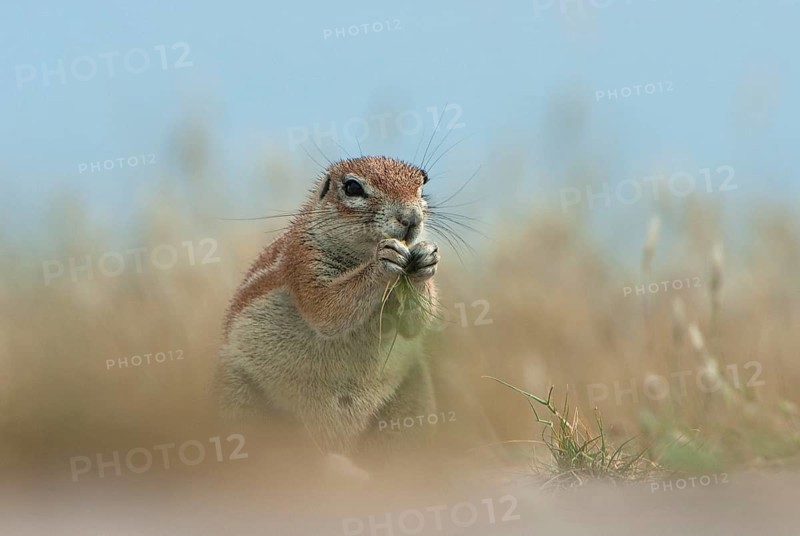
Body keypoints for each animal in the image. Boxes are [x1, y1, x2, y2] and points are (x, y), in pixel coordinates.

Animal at [216, 156, 440, 457]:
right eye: (353, 187)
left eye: (423, 182)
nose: (412, 218)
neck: (360, 254)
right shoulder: (302, 259)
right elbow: (326, 308)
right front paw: (385, 258)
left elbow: (413, 324)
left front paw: (426, 258)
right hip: (238, 393)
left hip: (414, 394)